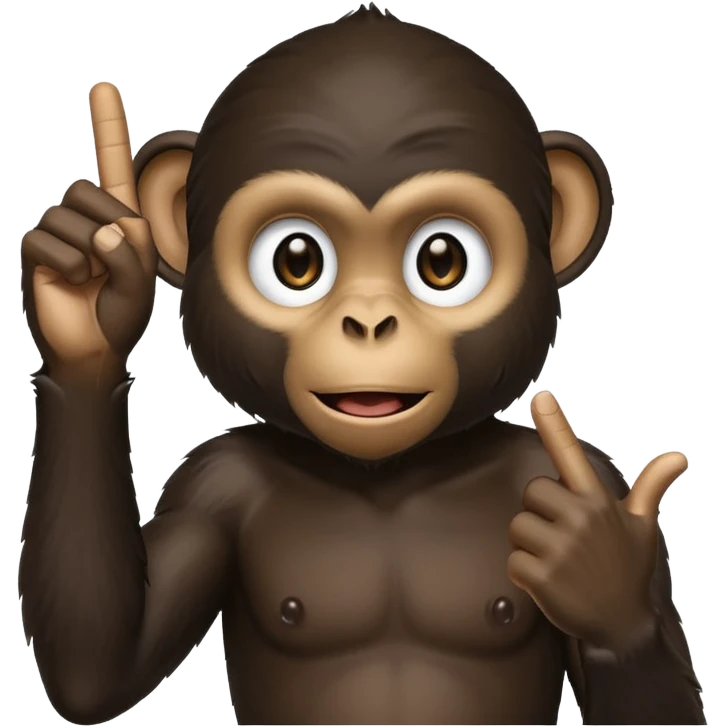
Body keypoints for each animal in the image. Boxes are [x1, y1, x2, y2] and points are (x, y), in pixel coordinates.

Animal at [17, 6, 707, 726]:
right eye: (296, 260)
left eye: (441, 260)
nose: (370, 322)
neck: (389, 475)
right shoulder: (210, 486)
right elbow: (102, 669)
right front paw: (92, 288)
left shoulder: (591, 472)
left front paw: (600, 567)